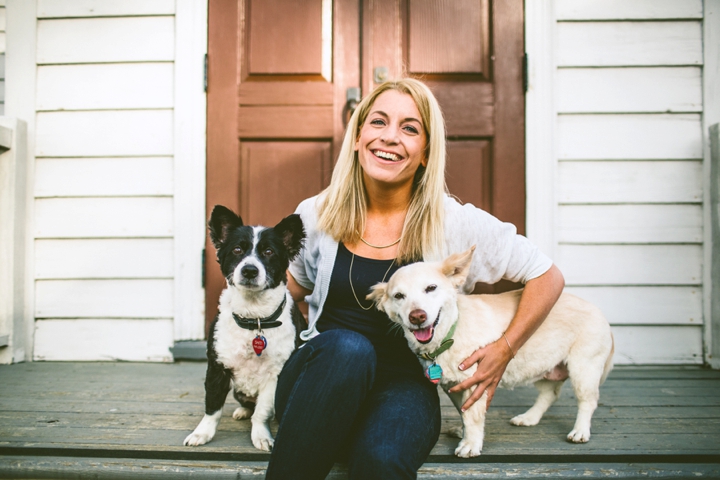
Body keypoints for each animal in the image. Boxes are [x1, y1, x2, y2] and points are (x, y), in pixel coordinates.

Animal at [184, 205, 306, 450]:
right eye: (237, 249)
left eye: (269, 252)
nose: (249, 270)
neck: (254, 319)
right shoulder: (217, 367)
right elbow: (212, 407)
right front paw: (202, 433)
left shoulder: (275, 374)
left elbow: (262, 412)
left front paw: (261, 435)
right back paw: (242, 411)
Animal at [372, 248, 612, 458]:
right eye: (399, 296)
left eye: (431, 288)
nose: (417, 316)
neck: (450, 332)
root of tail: (600, 312)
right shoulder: (455, 387)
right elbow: (464, 412)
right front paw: (464, 433)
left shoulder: (477, 381)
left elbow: (472, 415)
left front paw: (470, 444)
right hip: (544, 365)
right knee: (549, 394)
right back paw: (529, 417)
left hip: (584, 369)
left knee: (588, 402)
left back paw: (580, 431)